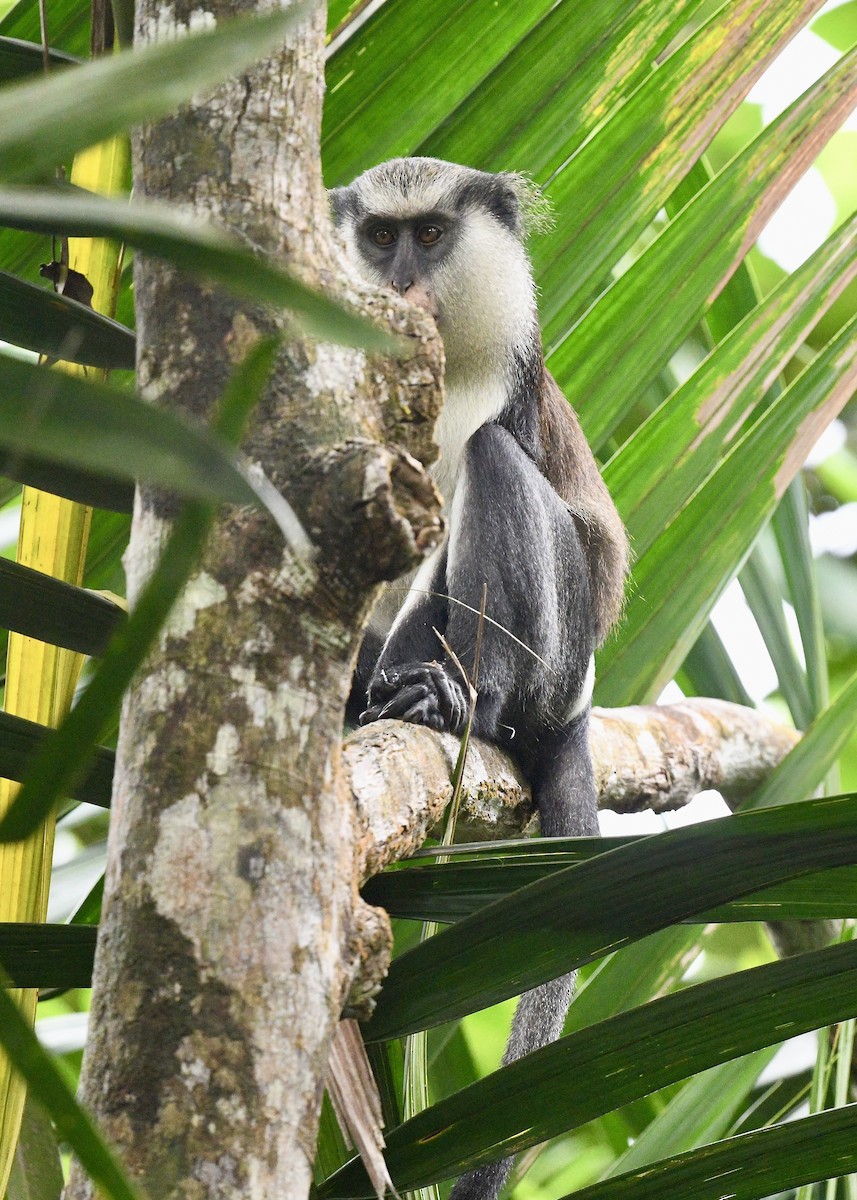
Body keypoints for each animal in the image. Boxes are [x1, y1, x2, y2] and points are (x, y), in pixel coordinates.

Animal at [331, 158, 628, 1200]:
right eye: (380, 237)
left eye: (429, 236)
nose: (400, 283)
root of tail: (579, 703)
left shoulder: (508, 384)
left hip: (554, 648)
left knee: (492, 470)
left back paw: (461, 704)